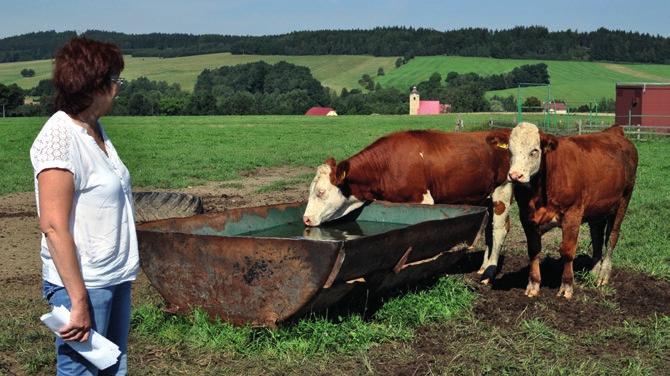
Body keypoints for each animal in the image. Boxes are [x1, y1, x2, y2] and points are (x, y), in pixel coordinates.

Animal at [302, 129, 516, 282]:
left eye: (321, 191)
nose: (306, 219)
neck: (386, 165)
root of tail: (502, 132)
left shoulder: (421, 200)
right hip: (486, 196)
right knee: (489, 229)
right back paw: (483, 266)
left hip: (503, 189)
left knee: (499, 229)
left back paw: (489, 273)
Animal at [510, 122, 640, 298]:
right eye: (510, 150)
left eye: (534, 151)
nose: (515, 176)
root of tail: (614, 131)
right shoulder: (526, 216)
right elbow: (533, 250)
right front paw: (533, 284)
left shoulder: (573, 214)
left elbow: (567, 251)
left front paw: (566, 286)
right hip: (597, 209)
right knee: (597, 237)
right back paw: (593, 272)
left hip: (624, 200)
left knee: (612, 236)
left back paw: (603, 275)